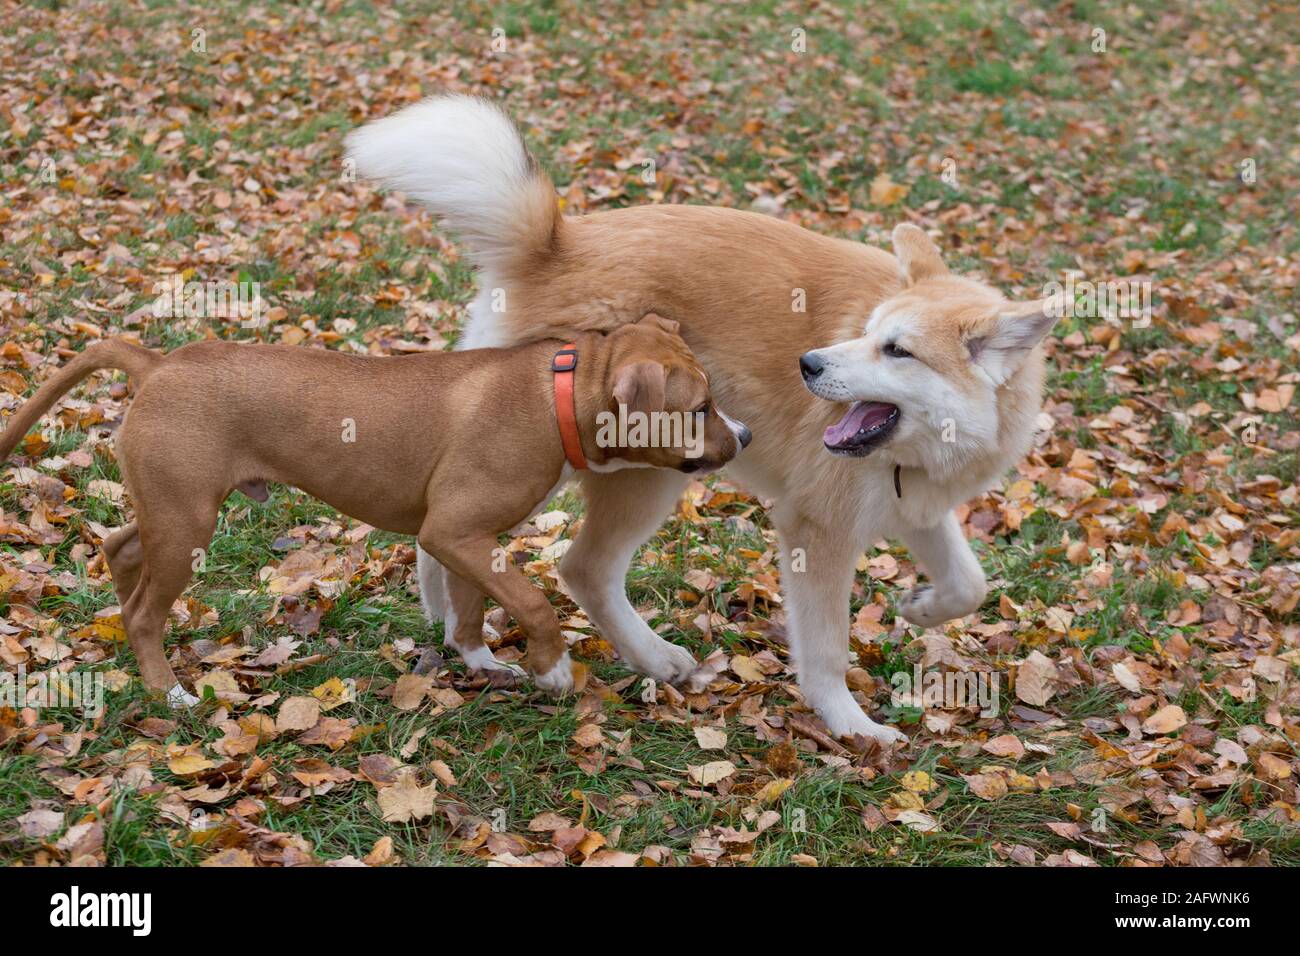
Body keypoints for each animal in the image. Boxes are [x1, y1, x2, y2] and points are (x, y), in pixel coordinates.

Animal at [0, 314, 748, 702]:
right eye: (700, 408)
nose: (743, 437)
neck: (559, 396)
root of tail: (155, 364)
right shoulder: (454, 531)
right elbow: (532, 602)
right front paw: (551, 667)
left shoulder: (469, 540)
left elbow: (472, 610)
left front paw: (483, 664)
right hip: (188, 521)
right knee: (144, 613)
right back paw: (166, 689)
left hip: (171, 509)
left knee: (121, 548)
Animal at [345, 95, 1055, 738]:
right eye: (870, 334)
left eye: (897, 349)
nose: (808, 364)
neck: (923, 451)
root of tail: (555, 242)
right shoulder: (817, 529)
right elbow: (826, 649)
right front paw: (851, 726)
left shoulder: (918, 507)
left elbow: (970, 583)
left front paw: (922, 607)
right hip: (623, 469)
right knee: (575, 566)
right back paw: (640, 655)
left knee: (450, 541)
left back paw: (458, 628)